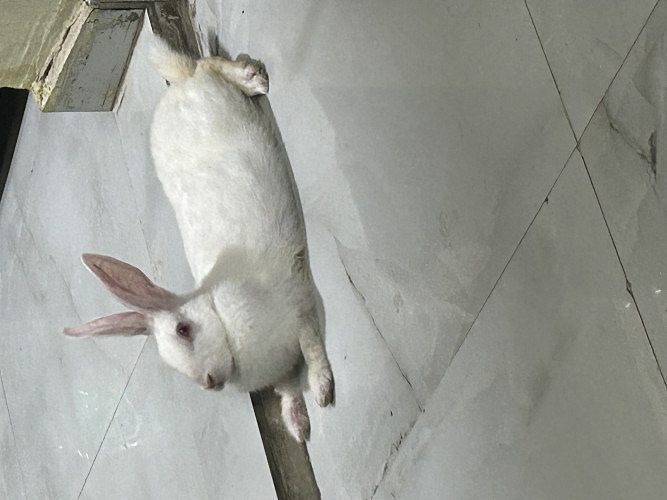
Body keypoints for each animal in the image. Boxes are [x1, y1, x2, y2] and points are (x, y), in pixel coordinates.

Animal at [63, 37, 334, 442]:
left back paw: (254, 79)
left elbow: (312, 345)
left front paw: (322, 392)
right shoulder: (281, 371)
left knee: (208, 64)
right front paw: (298, 427)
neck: (220, 317)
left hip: (210, 84)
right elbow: (287, 389)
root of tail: (178, 83)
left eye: (184, 329)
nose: (209, 382)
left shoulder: (298, 305)